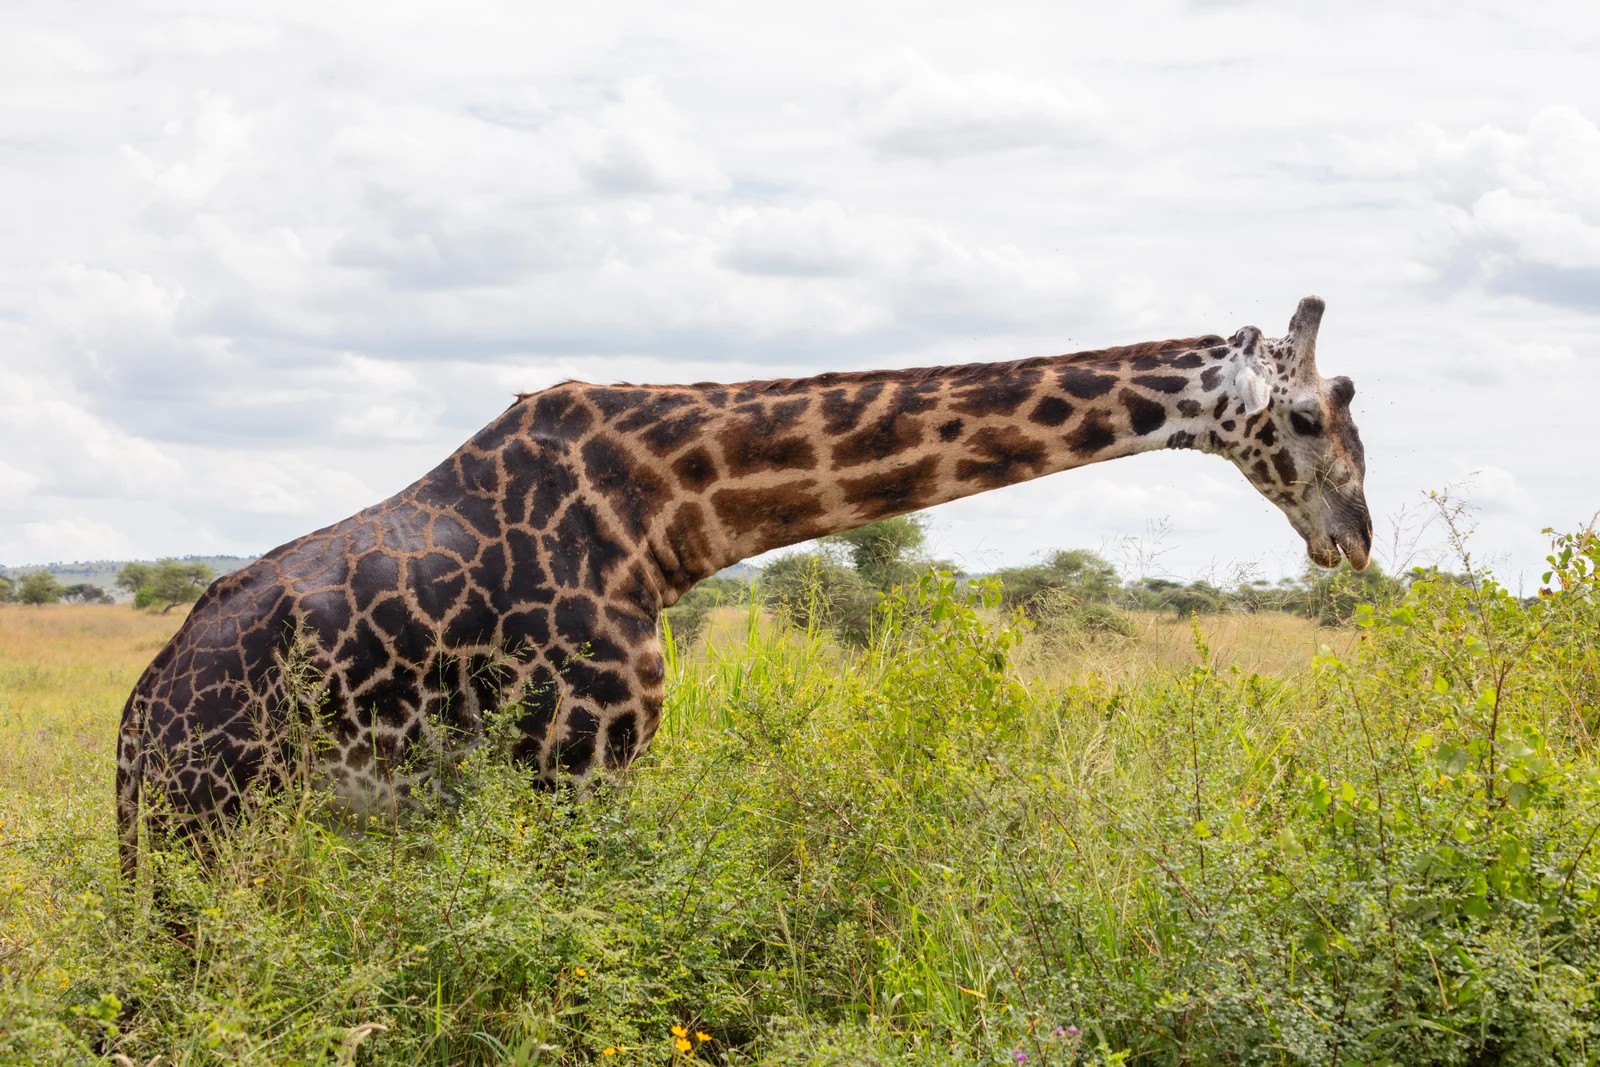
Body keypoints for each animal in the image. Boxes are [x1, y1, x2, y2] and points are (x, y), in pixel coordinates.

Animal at [116, 295, 1371, 875]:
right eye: (1312, 415)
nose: (1353, 539)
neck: (668, 514)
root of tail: (137, 718)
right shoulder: (578, 761)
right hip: (199, 824)